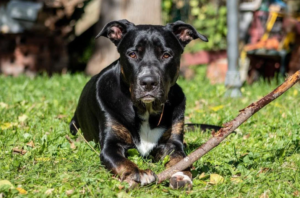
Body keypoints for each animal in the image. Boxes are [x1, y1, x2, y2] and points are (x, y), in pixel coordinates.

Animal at [71, 19, 209, 189]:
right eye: (132, 54)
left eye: (166, 55)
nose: (148, 82)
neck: (146, 109)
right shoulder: (111, 144)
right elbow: (122, 161)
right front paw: (138, 173)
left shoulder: (172, 143)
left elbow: (180, 159)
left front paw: (181, 175)